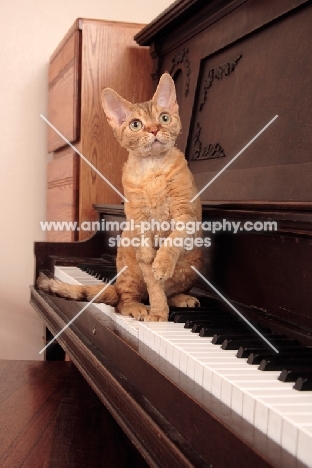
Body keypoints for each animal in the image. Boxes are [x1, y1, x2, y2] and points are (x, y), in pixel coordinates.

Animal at [37, 73, 202, 322]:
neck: (152, 170)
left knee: (171, 290)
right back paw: (138, 307)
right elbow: (153, 283)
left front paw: (163, 264)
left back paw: (181, 298)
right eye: (136, 124)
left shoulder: (186, 213)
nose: (154, 130)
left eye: (164, 118)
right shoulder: (141, 229)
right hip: (129, 271)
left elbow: (173, 239)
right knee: (124, 300)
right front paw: (158, 312)